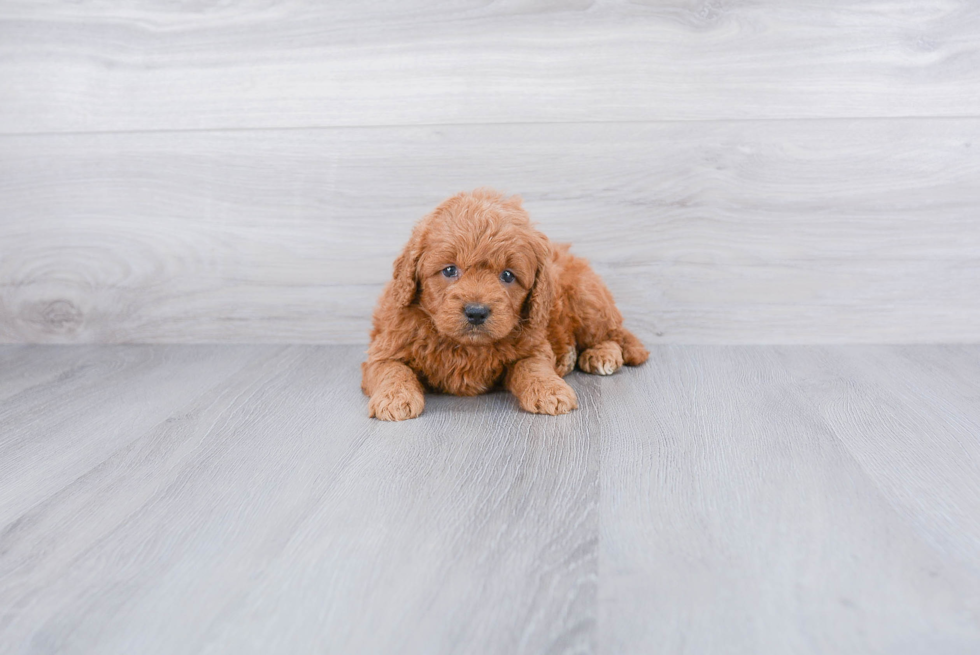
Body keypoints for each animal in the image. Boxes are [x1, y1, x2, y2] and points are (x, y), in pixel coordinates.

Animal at [364, 188, 648, 420]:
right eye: (449, 270)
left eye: (508, 275)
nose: (476, 312)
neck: (465, 346)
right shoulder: (383, 350)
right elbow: (393, 370)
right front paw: (395, 398)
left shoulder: (533, 347)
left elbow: (532, 366)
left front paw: (550, 390)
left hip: (587, 300)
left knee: (615, 334)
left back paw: (601, 355)